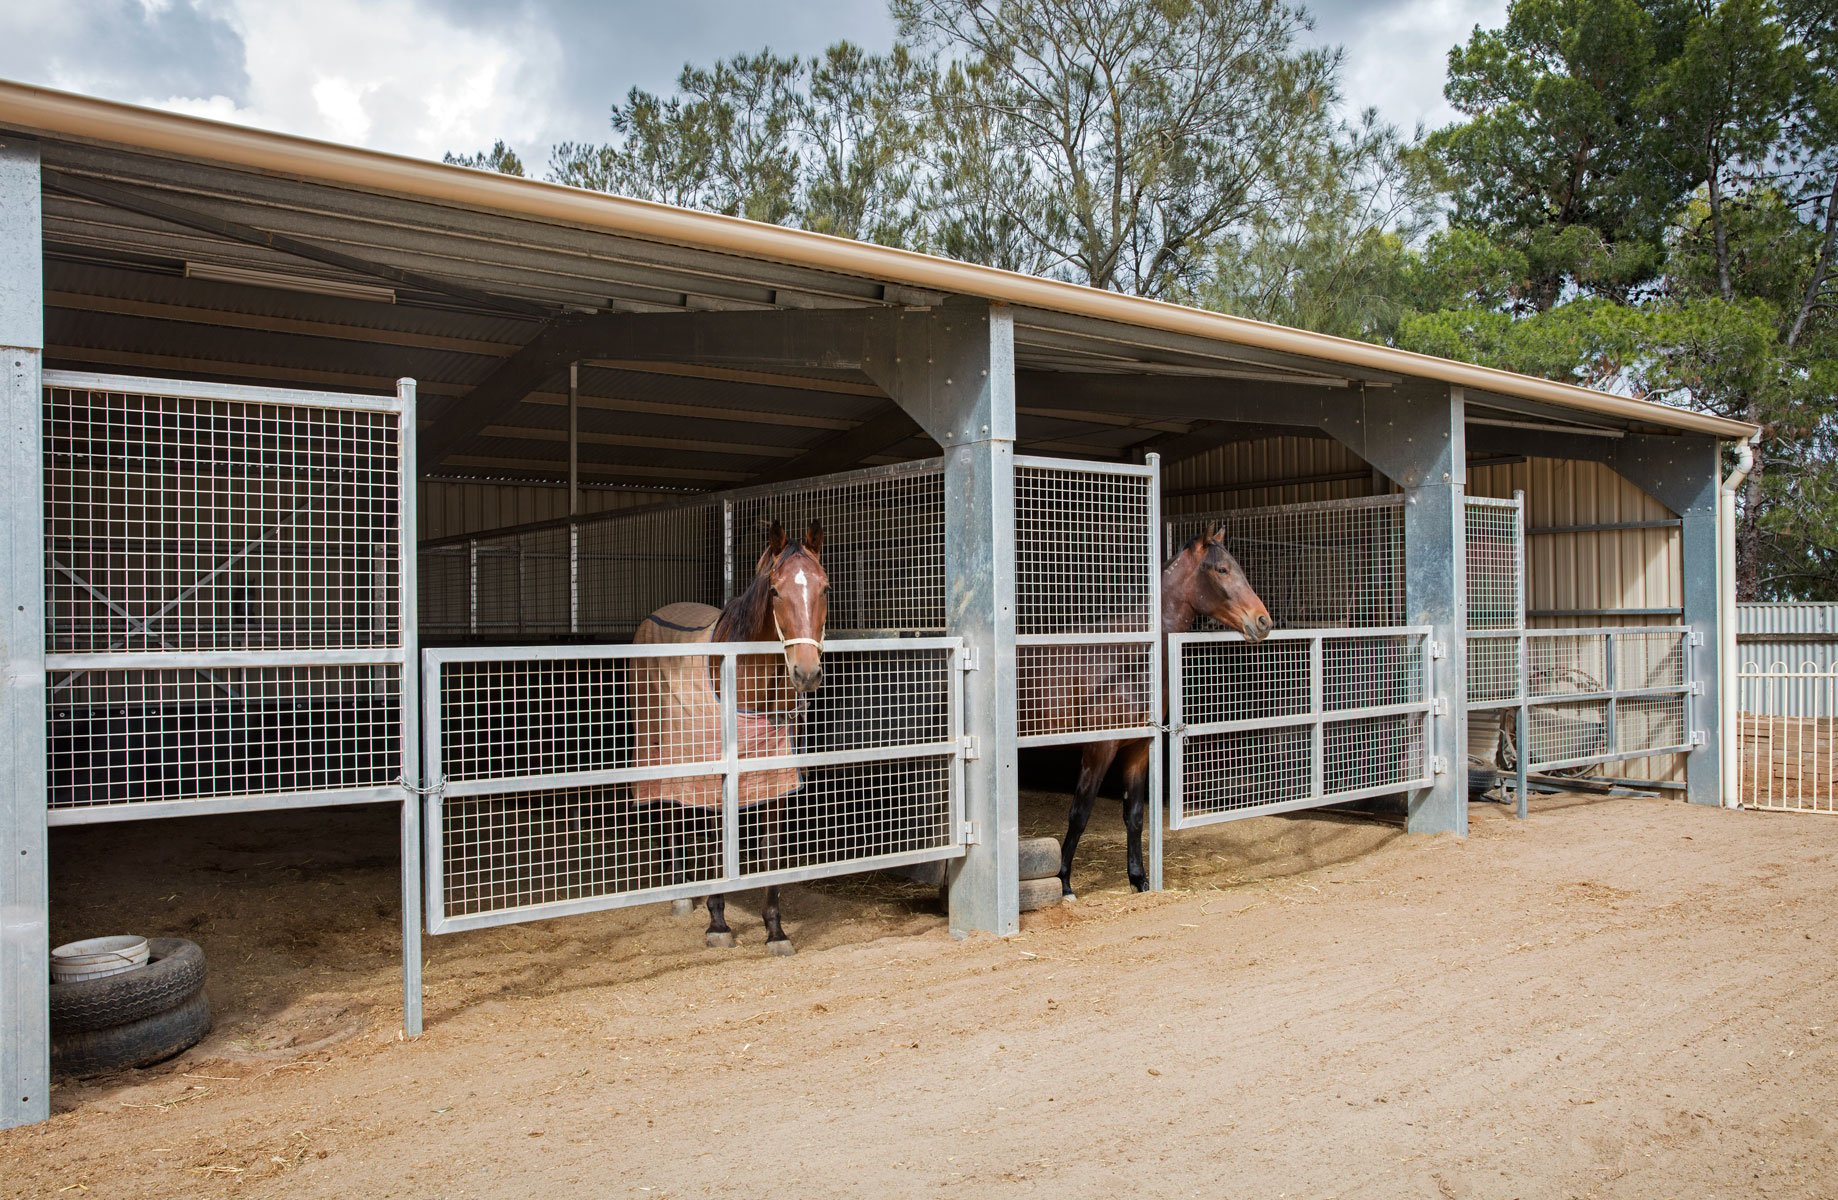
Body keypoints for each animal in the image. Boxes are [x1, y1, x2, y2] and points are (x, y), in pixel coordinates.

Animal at [1058, 525, 1271, 896]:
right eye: (1222, 570)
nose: (1262, 621)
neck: (1131, 660)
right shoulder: (1099, 748)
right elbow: (1079, 814)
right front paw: (1066, 884)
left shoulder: (1139, 749)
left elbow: (1134, 816)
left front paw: (1139, 880)